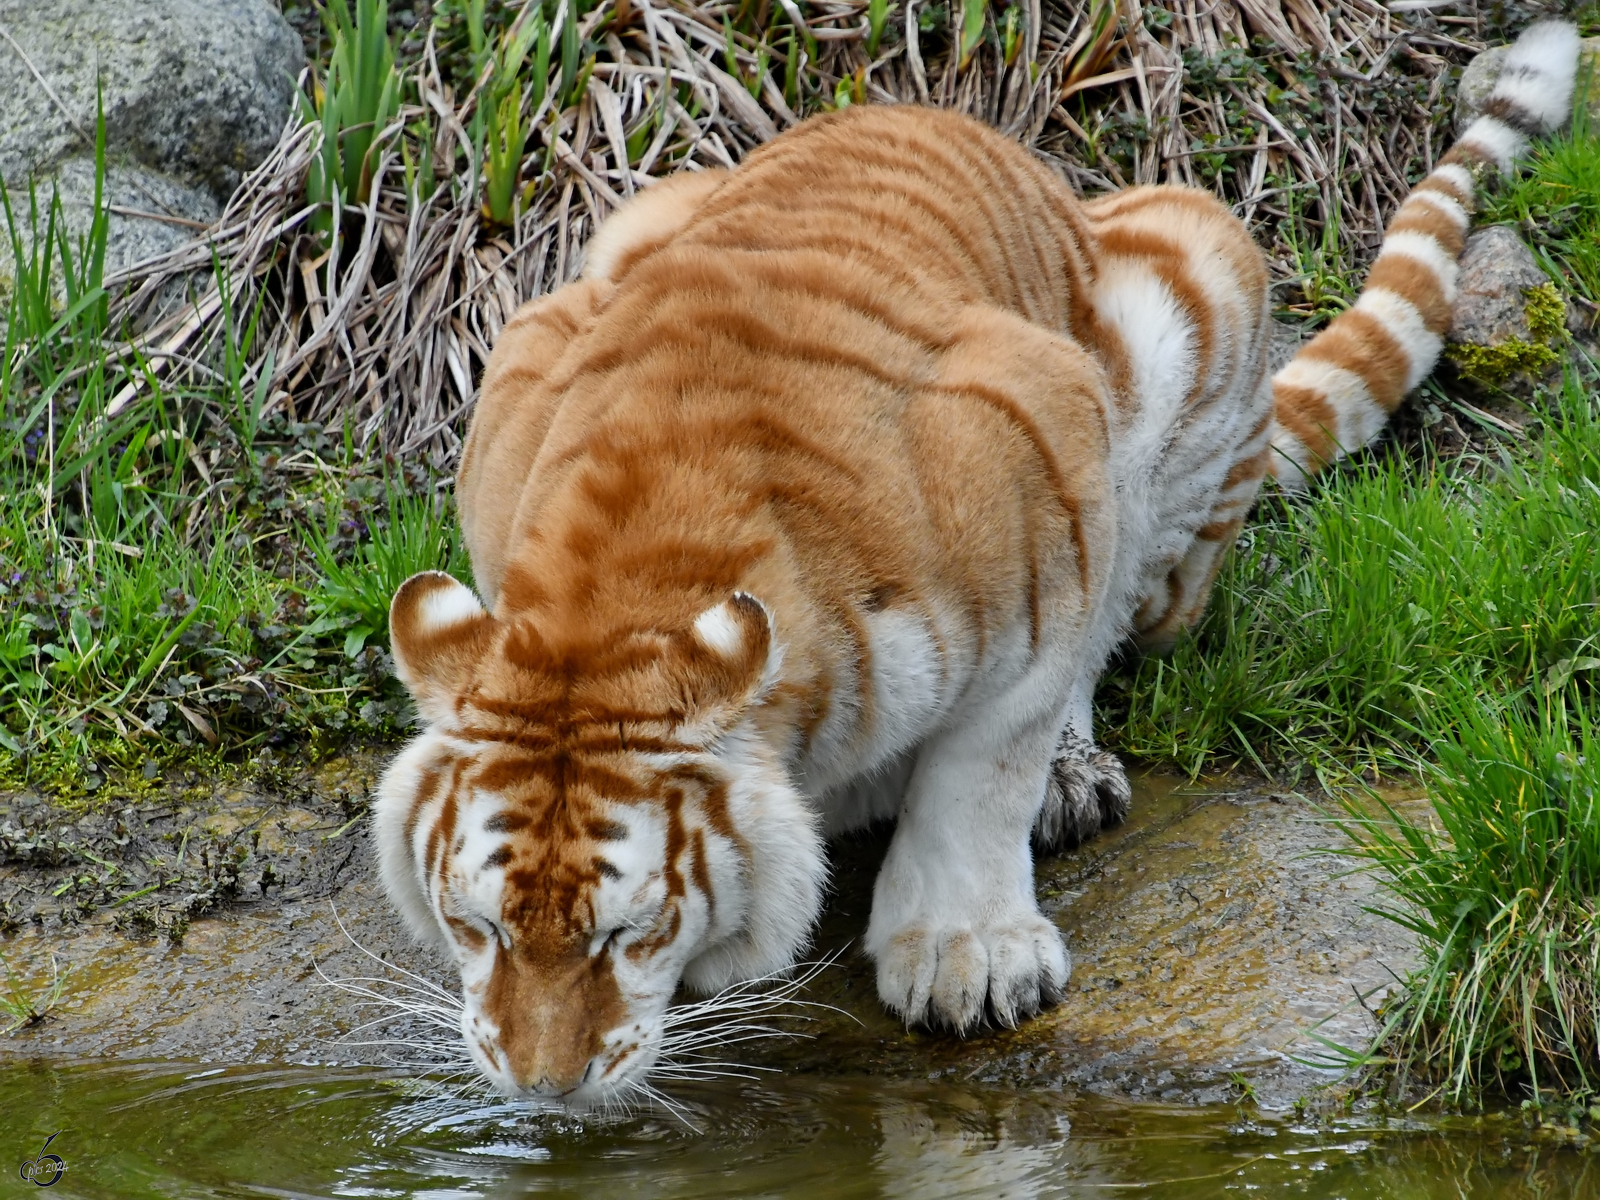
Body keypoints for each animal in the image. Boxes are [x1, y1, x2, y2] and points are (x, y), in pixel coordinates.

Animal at [377, 21, 1587, 1107]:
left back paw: (1072, 777)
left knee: (1118, 623)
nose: (542, 1090)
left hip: (1193, 300)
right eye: (479, 926)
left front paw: (968, 953)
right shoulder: (522, 357)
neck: (626, 575)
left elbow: (985, 763)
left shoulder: (1039, 452)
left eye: (626, 935)